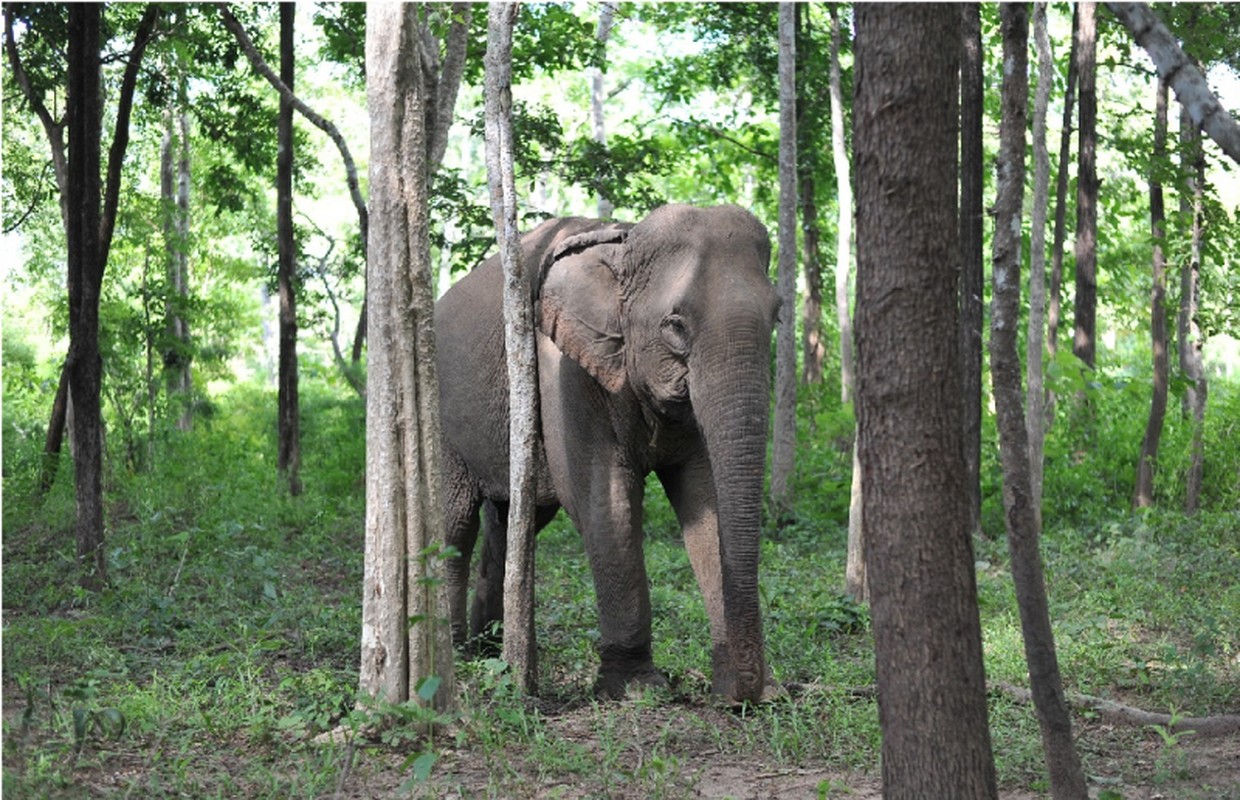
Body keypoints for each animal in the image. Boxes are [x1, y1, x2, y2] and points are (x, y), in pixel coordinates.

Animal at [436, 203, 773, 704]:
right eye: (675, 325)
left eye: (779, 313)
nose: (745, 692)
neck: (624, 243)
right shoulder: (561, 368)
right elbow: (603, 498)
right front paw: (638, 688)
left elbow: (704, 499)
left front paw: (750, 691)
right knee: (455, 523)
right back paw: (457, 652)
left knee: (511, 522)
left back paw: (491, 652)